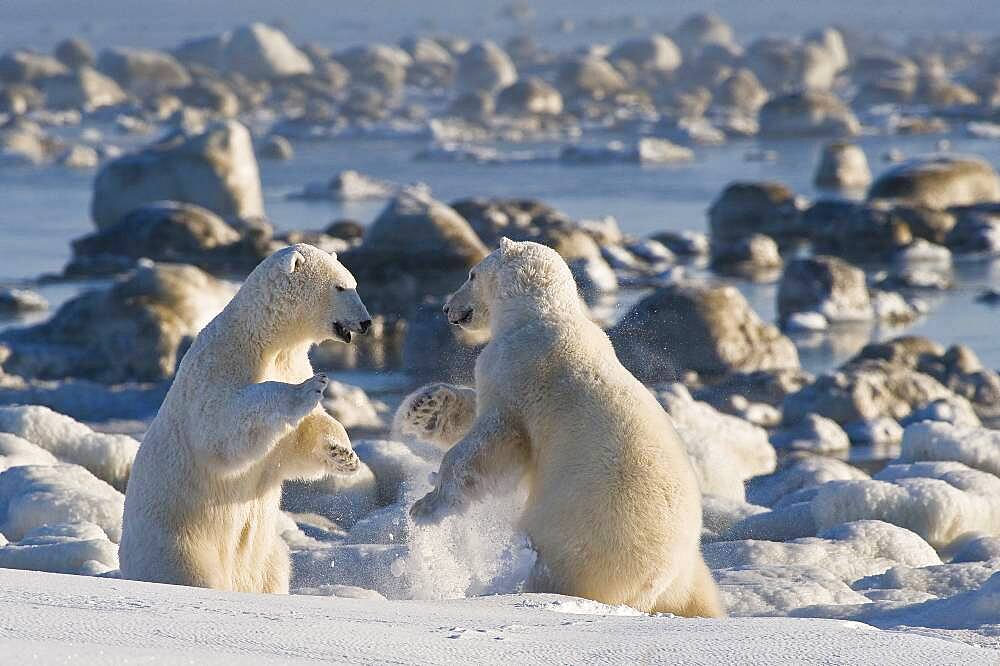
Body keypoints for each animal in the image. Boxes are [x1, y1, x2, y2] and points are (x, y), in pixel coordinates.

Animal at [121, 244, 372, 592]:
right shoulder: (218, 363)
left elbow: (295, 445)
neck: (261, 338)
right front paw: (309, 388)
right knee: (192, 574)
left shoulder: (291, 362)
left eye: (354, 284)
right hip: (178, 544)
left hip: (266, 554)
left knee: (276, 566)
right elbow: (221, 426)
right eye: (341, 287)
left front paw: (344, 455)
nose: (366, 322)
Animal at [400, 236, 728, 616]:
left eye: (471, 274)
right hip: (688, 572)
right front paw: (425, 409)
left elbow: (497, 439)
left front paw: (427, 506)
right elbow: (477, 411)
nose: (447, 308)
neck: (539, 315)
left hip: (582, 536)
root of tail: (661, 579)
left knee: (556, 569)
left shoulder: (518, 372)